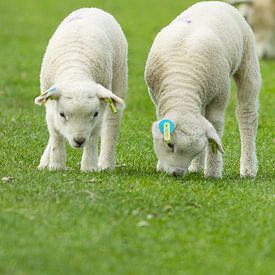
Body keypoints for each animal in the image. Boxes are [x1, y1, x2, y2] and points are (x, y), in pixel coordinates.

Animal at [34, 8, 128, 172]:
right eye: (62, 114)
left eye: (94, 114)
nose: (79, 140)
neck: (76, 72)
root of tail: (93, 8)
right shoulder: (50, 103)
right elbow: (55, 132)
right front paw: (56, 165)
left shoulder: (100, 108)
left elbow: (93, 135)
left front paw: (89, 166)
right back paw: (45, 162)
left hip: (119, 77)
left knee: (112, 124)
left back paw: (106, 164)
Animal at [146, 1, 262, 179]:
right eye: (170, 145)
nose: (176, 173)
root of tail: (215, 2)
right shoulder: (155, 96)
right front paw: (161, 165)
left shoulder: (219, 96)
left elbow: (216, 125)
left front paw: (213, 172)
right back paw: (196, 167)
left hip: (248, 59)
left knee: (247, 114)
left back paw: (248, 168)